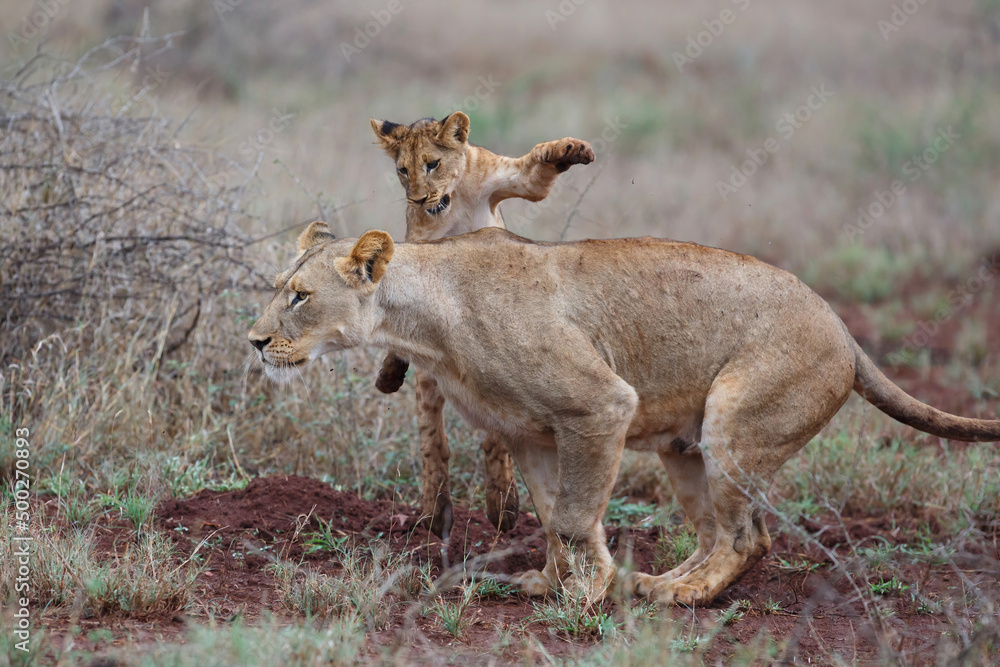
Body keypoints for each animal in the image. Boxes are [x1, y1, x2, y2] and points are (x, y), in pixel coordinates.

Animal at [248, 225, 1000, 606]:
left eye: (300, 296)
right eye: (278, 289)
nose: (253, 340)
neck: (424, 321)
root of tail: (843, 326)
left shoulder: (601, 405)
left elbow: (575, 516)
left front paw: (590, 592)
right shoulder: (529, 433)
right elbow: (555, 514)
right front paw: (553, 582)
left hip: (734, 420)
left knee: (748, 538)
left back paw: (675, 597)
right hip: (684, 448)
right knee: (714, 532)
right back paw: (660, 580)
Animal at [369, 111, 595, 539]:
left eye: (432, 164)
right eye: (402, 171)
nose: (417, 199)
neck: (452, 199)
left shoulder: (508, 178)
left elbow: (537, 168)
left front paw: (573, 149)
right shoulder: (418, 243)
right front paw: (389, 370)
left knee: (497, 436)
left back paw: (502, 503)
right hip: (433, 380)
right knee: (433, 438)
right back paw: (437, 510)